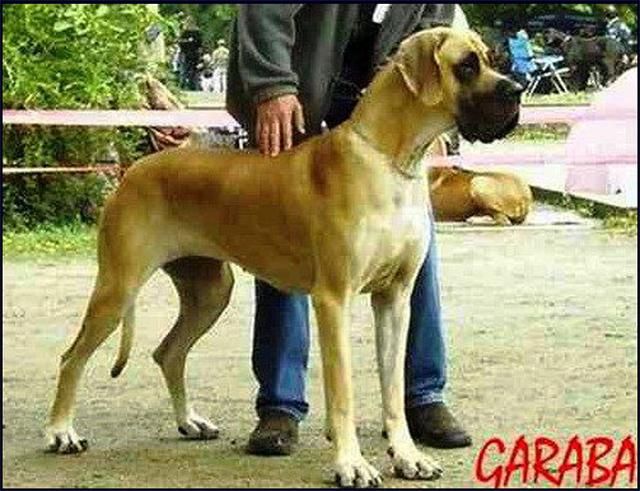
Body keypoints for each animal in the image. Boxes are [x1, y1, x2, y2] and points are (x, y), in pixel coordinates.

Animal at [45, 28, 522, 487]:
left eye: (490, 58)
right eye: (466, 65)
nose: (517, 91)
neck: (390, 160)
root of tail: (134, 170)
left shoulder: (395, 298)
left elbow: (393, 389)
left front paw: (407, 456)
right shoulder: (333, 299)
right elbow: (343, 392)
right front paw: (351, 464)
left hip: (210, 292)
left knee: (169, 352)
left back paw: (189, 421)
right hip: (118, 288)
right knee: (71, 358)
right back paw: (61, 432)